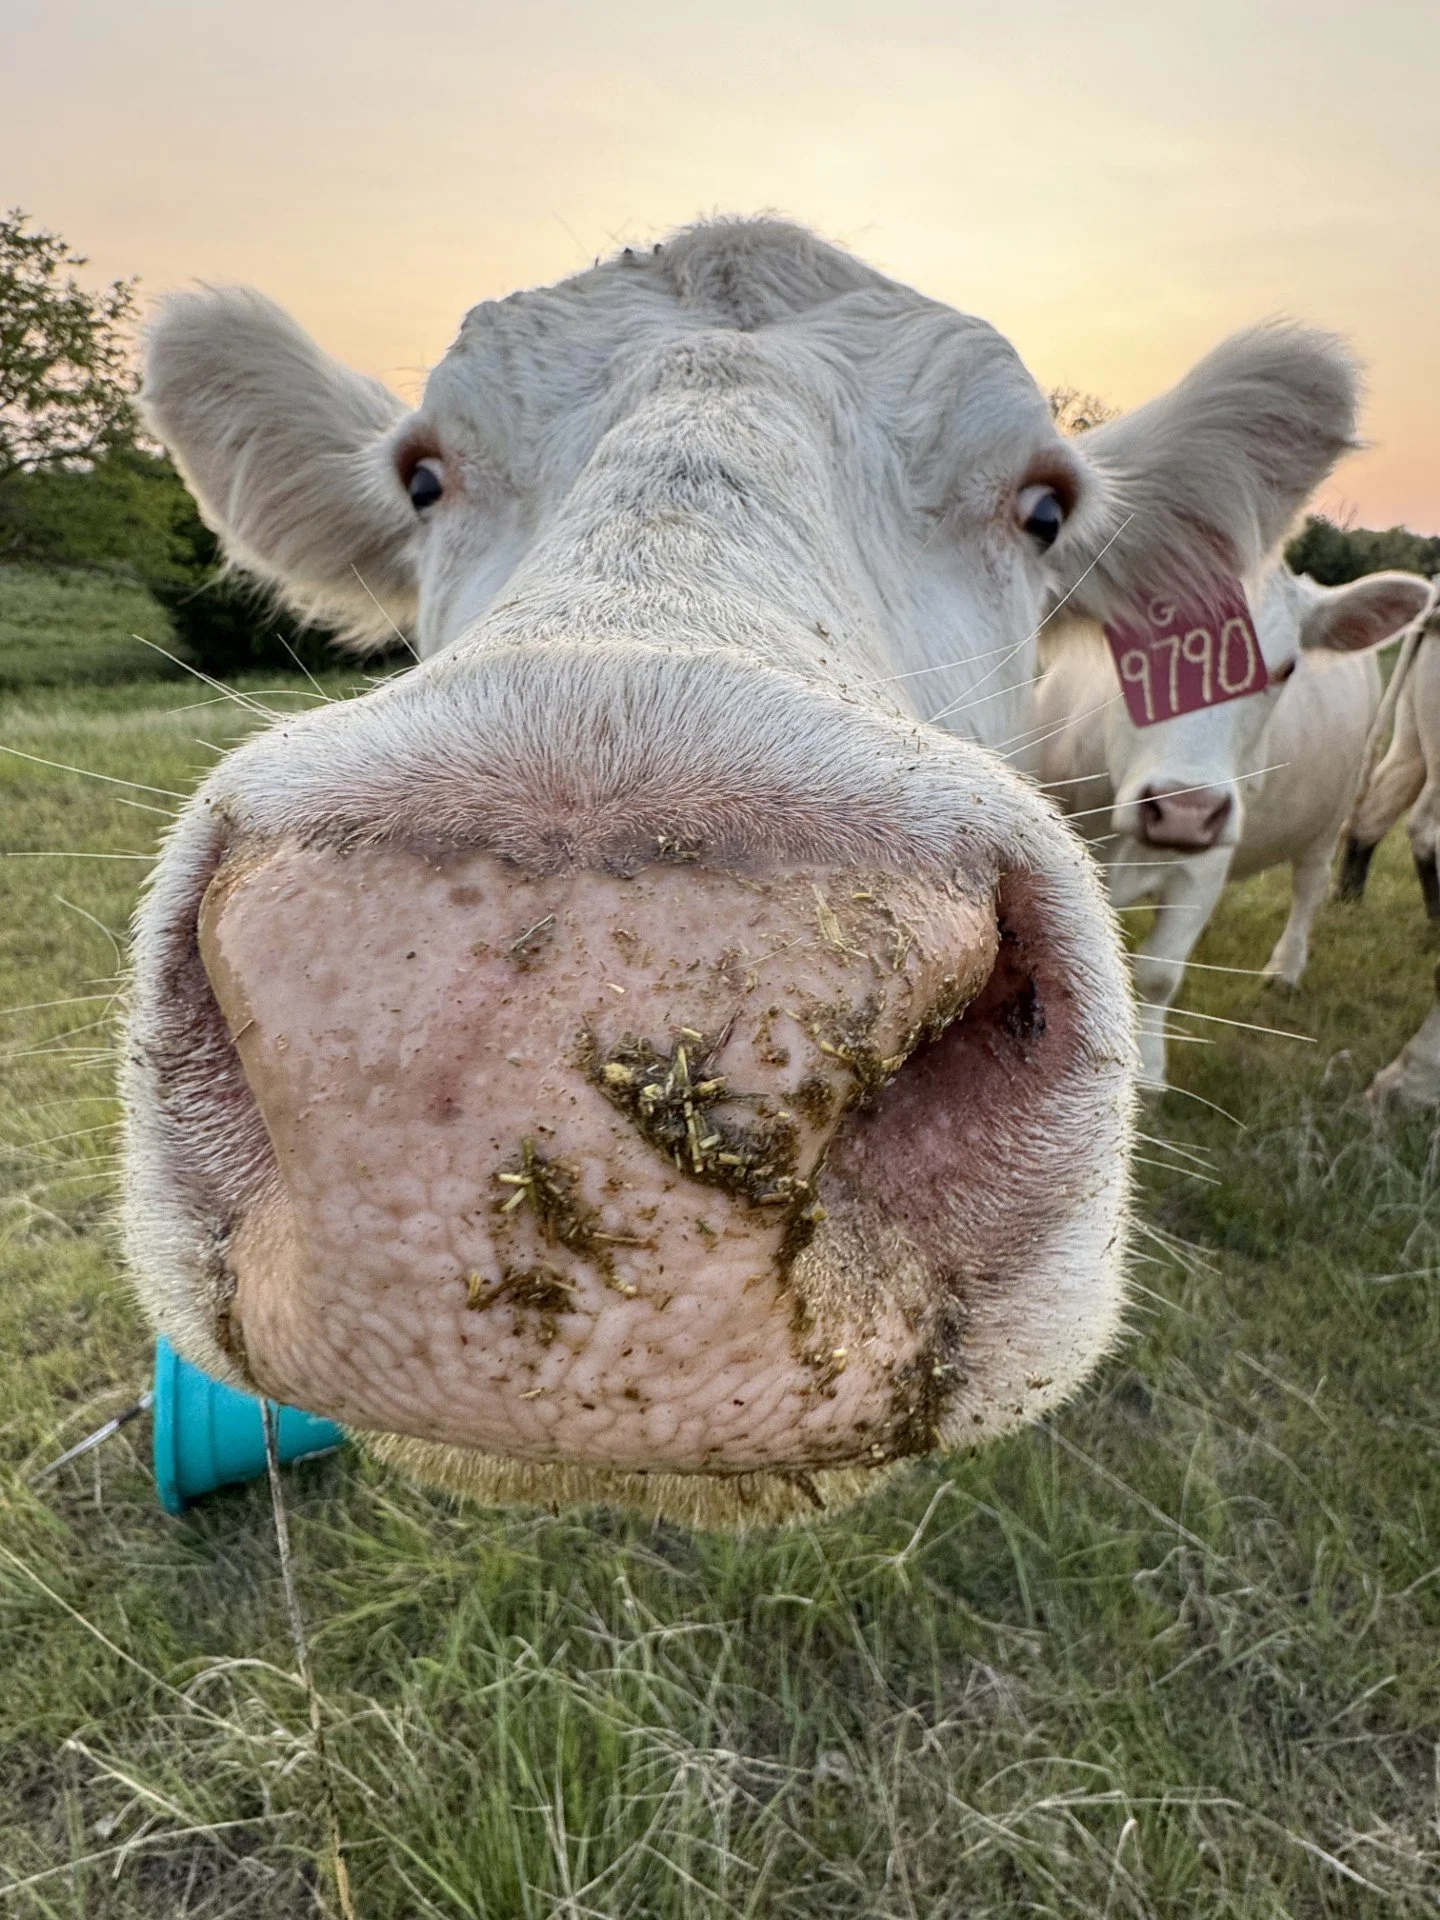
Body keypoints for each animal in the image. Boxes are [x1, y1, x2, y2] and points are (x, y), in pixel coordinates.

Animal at [1035, 565, 1433, 1088]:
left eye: (1285, 670)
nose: (1185, 809)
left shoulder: (1201, 870)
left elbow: (1159, 972)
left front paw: (1148, 1071)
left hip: (1331, 813)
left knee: (1310, 886)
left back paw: (1286, 968)